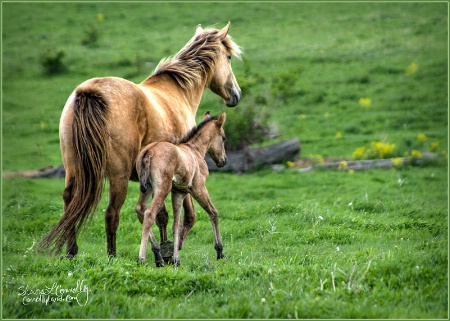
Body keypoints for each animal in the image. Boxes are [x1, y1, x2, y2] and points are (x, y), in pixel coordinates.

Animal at [39, 21, 243, 258]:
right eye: (229, 57)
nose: (236, 95)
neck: (178, 92)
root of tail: (88, 92)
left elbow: (161, 215)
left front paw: (163, 250)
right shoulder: (185, 178)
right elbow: (186, 217)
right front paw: (171, 251)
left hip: (73, 169)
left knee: (70, 202)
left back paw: (71, 251)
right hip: (118, 176)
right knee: (112, 213)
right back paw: (113, 257)